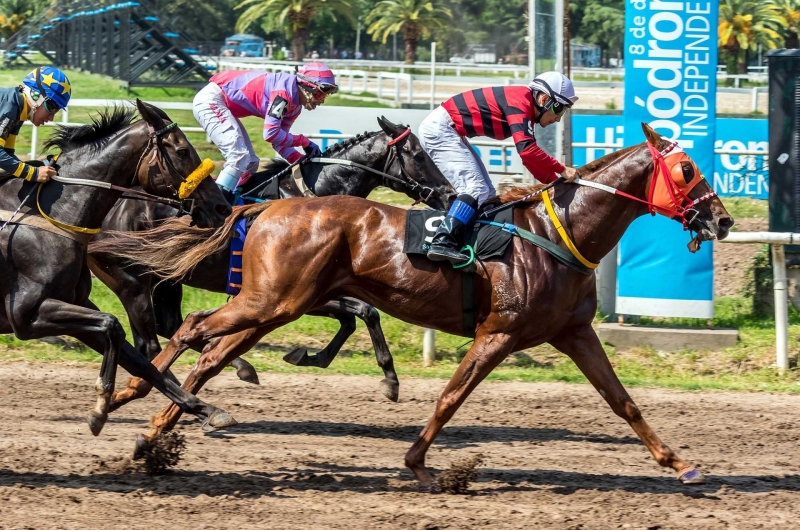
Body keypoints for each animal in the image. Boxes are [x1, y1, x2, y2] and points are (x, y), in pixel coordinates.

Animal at [0, 101, 238, 436]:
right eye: (181, 150)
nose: (222, 208)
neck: (55, 213)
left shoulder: (72, 304)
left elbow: (138, 358)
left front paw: (207, 409)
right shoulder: (26, 314)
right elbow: (114, 326)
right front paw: (101, 406)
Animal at [89, 116, 456, 404]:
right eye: (418, 154)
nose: (449, 193)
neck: (317, 200)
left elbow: (356, 316)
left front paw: (307, 356)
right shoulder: (292, 293)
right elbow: (364, 311)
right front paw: (389, 379)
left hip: (168, 280)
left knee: (169, 324)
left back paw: (238, 367)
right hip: (133, 282)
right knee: (149, 340)